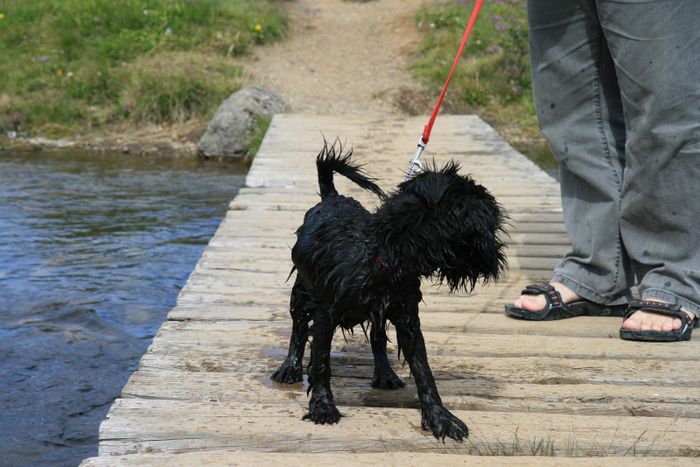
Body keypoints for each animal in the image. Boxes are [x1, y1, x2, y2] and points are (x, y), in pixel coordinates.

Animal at [270, 143, 506, 442]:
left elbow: (423, 369)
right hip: (301, 291)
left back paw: (384, 373)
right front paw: (322, 406)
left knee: (377, 338)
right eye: (487, 220)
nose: (497, 255)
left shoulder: (407, 317)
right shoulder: (325, 315)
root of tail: (331, 197)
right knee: (298, 328)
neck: (384, 253)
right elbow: (321, 362)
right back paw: (289, 367)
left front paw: (440, 417)